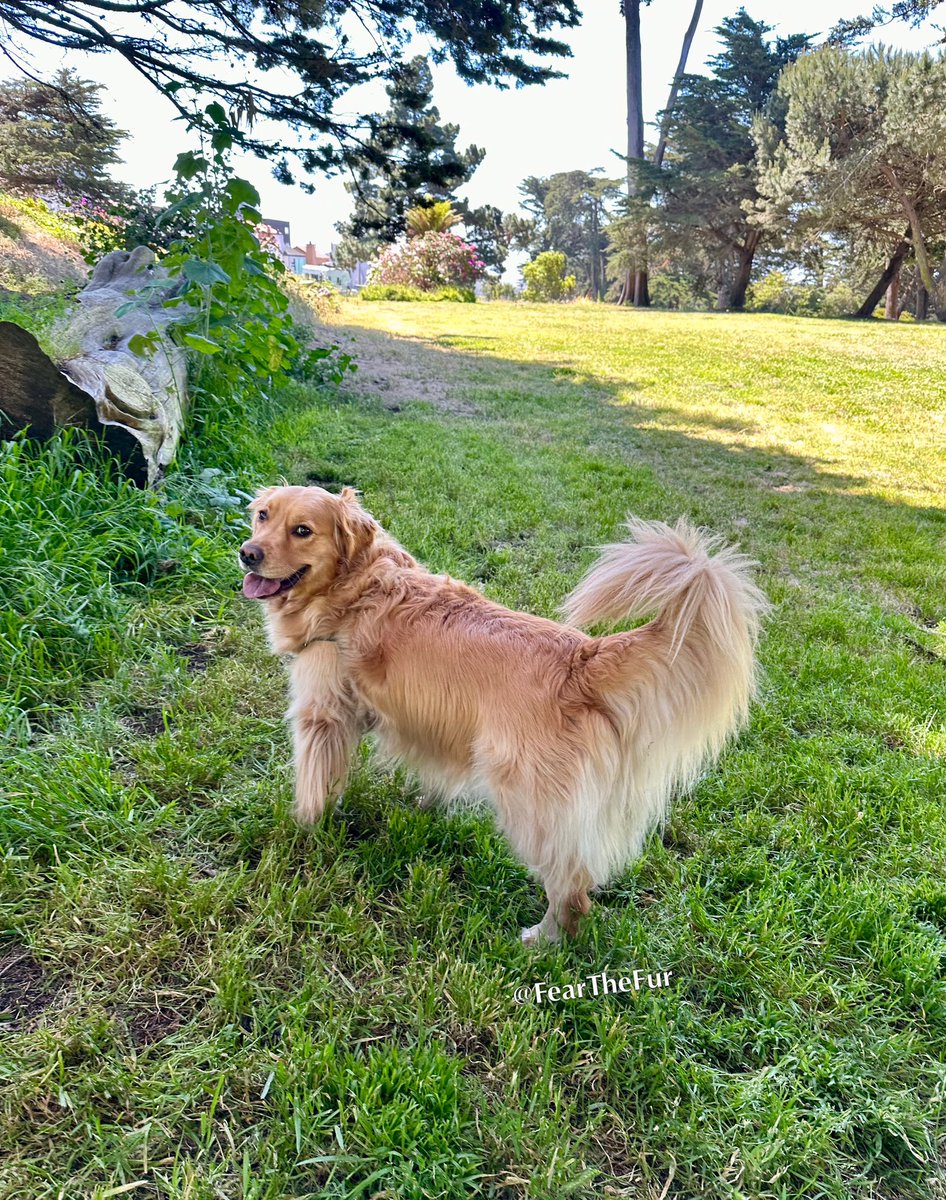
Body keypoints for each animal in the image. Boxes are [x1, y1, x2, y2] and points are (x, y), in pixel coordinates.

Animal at [240, 482, 763, 940]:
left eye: (303, 530)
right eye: (263, 516)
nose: (248, 553)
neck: (354, 584)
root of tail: (581, 660)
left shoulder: (321, 714)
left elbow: (313, 786)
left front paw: (302, 831)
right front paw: (425, 807)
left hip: (531, 805)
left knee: (572, 888)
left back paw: (542, 941)